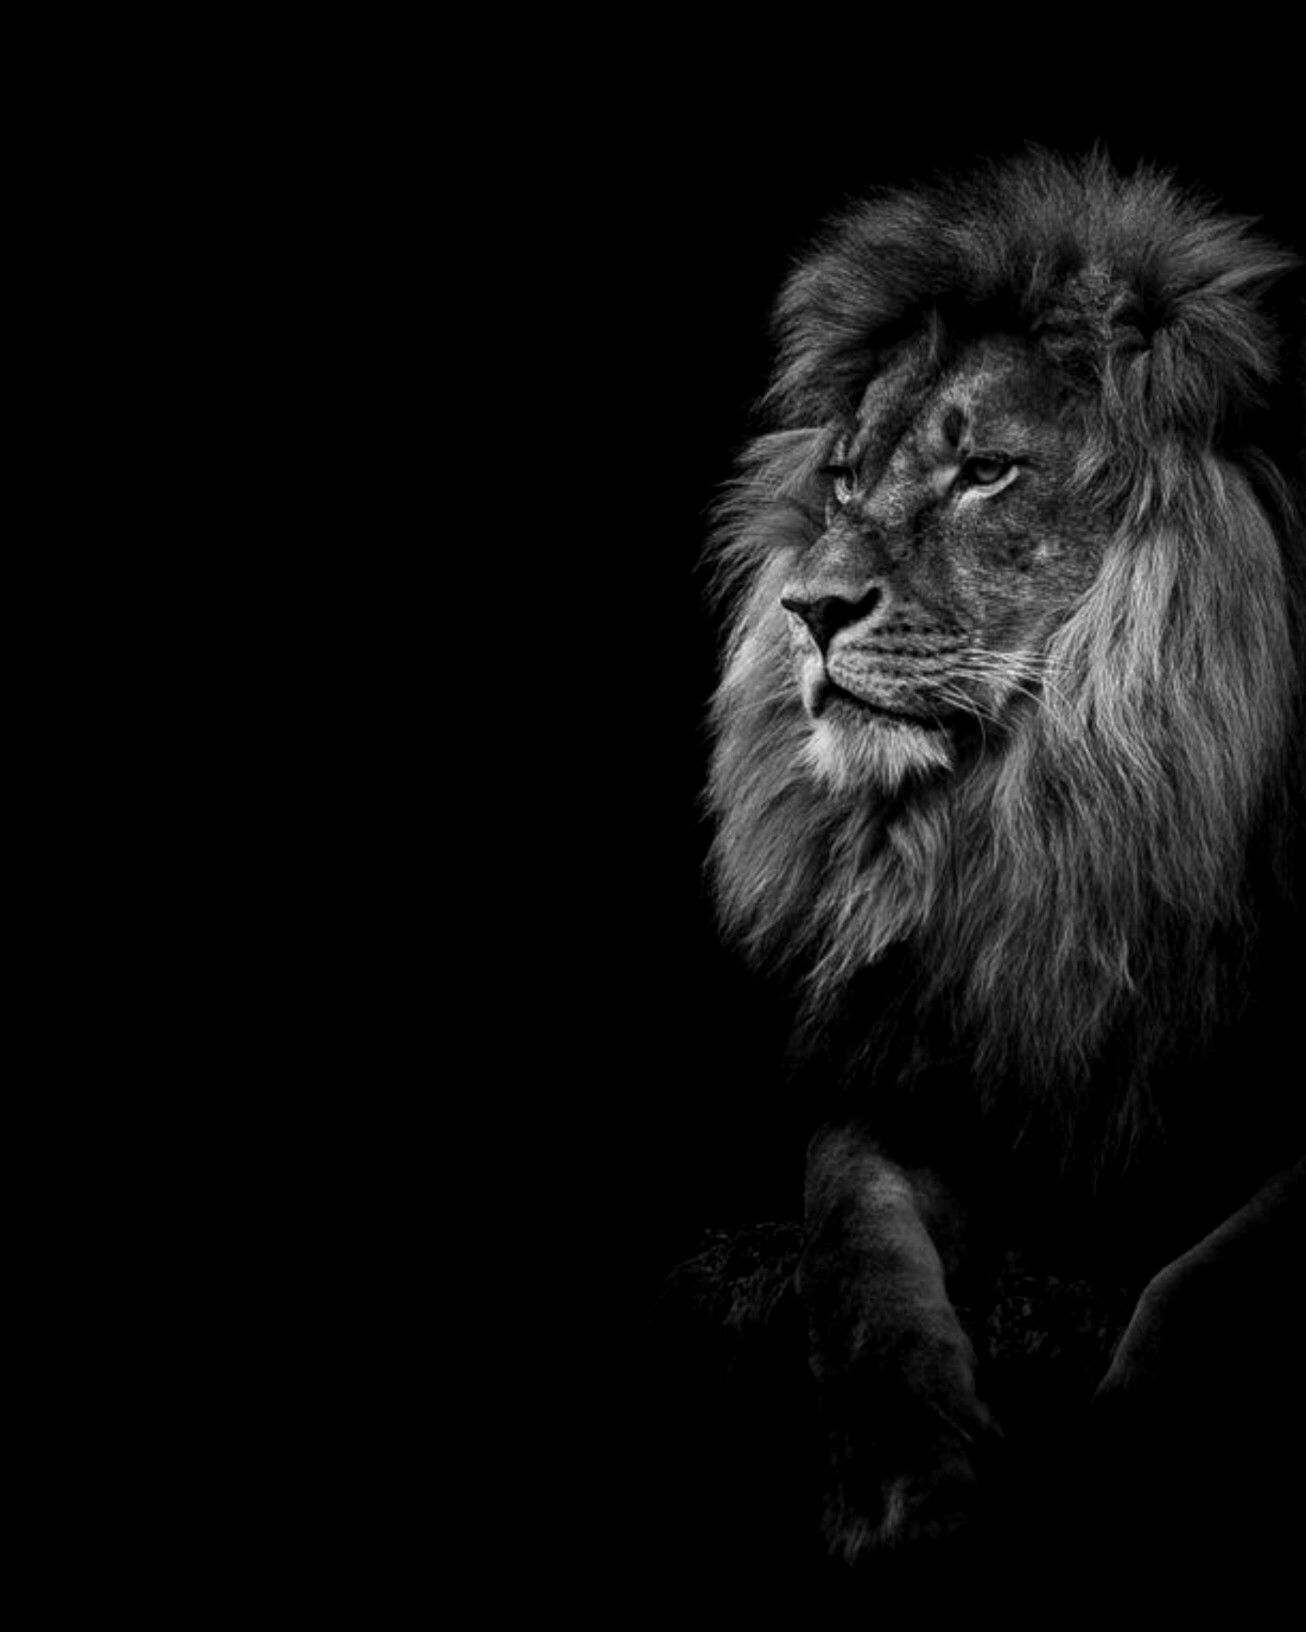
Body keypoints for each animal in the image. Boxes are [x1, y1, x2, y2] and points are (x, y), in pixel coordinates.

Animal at [704, 151, 1306, 1575]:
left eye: (985, 469)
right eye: (845, 478)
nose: (805, 608)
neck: (1049, 819)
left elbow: (1199, 1289)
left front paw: (1118, 1482)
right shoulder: (909, 1080)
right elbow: (858, 1261)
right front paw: (901, 1482)